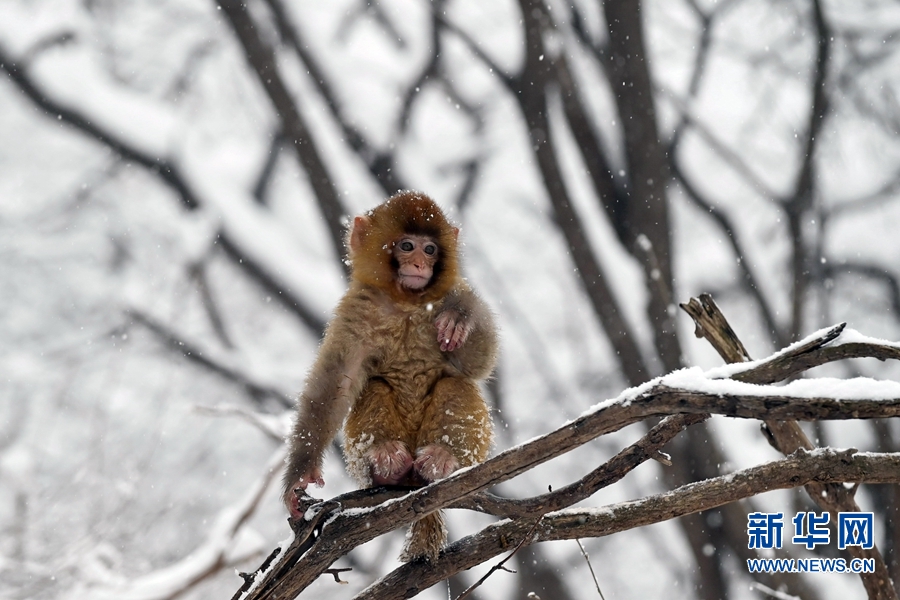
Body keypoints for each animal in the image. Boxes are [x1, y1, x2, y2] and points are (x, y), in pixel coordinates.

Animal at [284, 190, 500, 560]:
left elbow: (476, 364)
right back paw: (387, 462)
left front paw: (460, 313)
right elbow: (334, 383)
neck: (407, 303)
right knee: (373, 386)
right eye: (407, 246)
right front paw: (300, 473)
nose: (420, 265)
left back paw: (444, 460)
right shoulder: (355, 311)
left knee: (455, 384)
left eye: (430, 249)